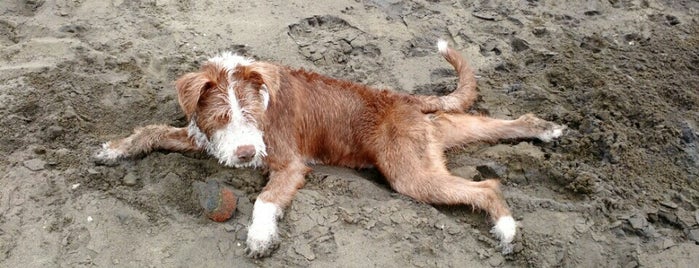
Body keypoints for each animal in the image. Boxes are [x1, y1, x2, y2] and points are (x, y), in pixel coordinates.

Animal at [94, 40, 564, 258]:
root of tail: (406, 99)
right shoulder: (200, 137)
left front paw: (260, 237)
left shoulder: (289, 163)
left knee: (487, 185)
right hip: (440, 135)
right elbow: (151, 131)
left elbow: (265, 200)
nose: (245, 155)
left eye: (253, 114)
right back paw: (544, 127)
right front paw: (114, 149)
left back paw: (507, 230)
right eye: (223, 118)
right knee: (496, 124)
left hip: (411, 174)